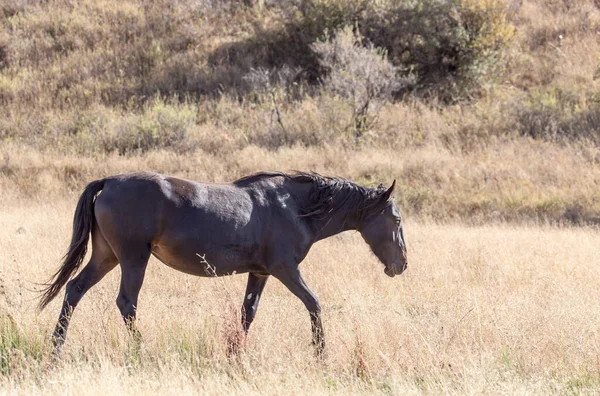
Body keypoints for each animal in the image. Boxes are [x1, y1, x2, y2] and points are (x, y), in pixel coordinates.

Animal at [39, 170, 410, 356]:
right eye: (396, 220)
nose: (402, 265)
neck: (294, 207)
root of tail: (109, 182)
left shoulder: (260, 273)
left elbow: (248, 313)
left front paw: (235, 353)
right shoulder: (286, 270)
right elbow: (314, 303)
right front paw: (321, 353)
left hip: (106, 256)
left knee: (74, 290)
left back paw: (56, 348)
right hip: (133, 258)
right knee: (126, 303)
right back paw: (142, 349)